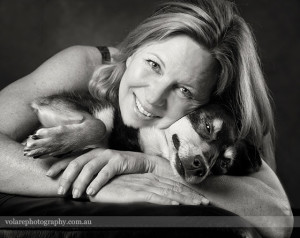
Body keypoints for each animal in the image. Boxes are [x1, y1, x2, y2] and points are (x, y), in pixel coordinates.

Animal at [24, 92, 262, 184]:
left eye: (223, 164)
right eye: (208, 126)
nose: (201, 168)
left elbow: (98, 126)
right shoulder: (49, 103)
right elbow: (99, 125)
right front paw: (51, 143)